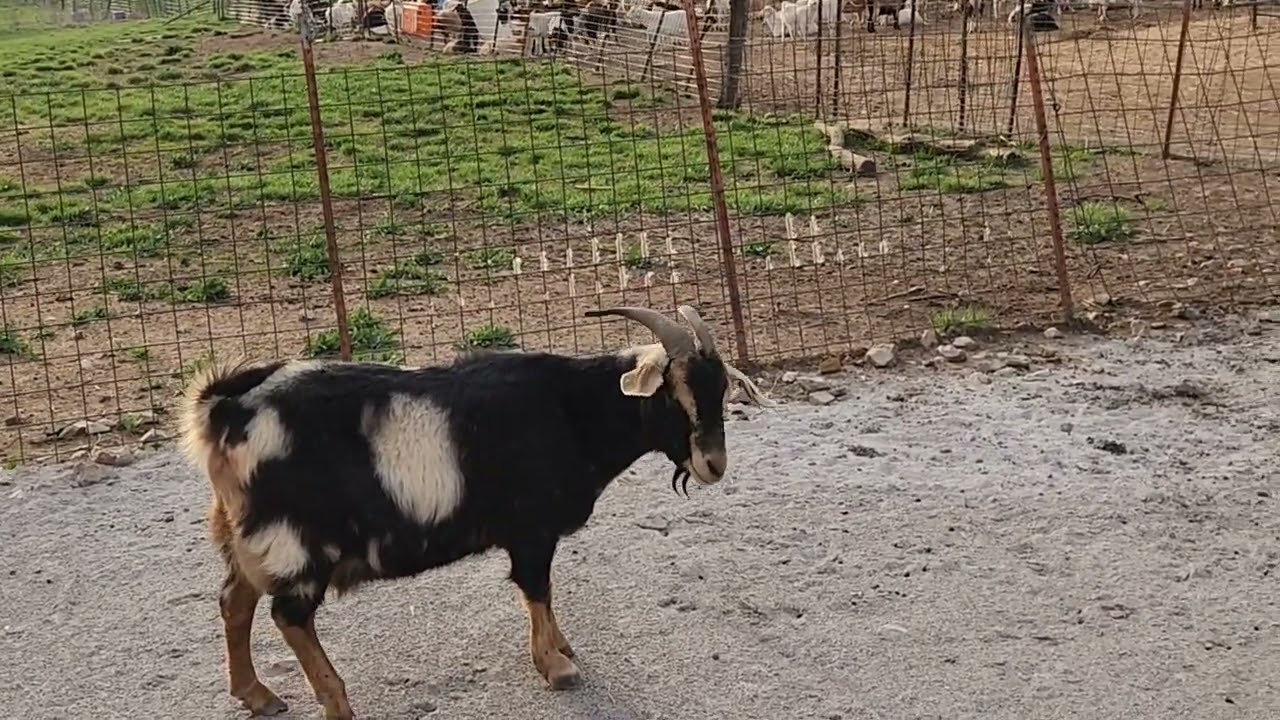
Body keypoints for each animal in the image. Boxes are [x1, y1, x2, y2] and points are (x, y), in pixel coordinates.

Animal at [180, 305, 770, 720]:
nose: (713, 464)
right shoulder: (531, 529)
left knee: (234, 602)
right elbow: (537, 589)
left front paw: (561, 649)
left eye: (721, 389)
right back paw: (336, 702)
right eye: (676, 393)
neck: (573, 409)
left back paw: (257, 694)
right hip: (294, 539)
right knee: (288, 616)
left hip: (247, 537)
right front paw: (556, 665)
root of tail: (225, 408)